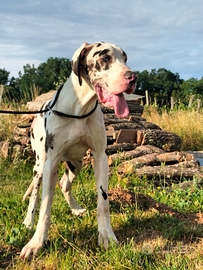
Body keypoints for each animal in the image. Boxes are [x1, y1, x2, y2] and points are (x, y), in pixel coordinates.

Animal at [19, 41, 137, 258]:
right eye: (105, 57)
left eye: (125, 58)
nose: (133, 77)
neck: (80, 109)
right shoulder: (51, 163)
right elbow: (45, 207)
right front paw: (36, 243)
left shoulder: (100, 158)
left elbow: (103, 203)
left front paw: (107, 236)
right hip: (40, 165)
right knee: (35, 195)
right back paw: (28, 222)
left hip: (76, 163)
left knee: (64, 184)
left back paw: (75, 209)